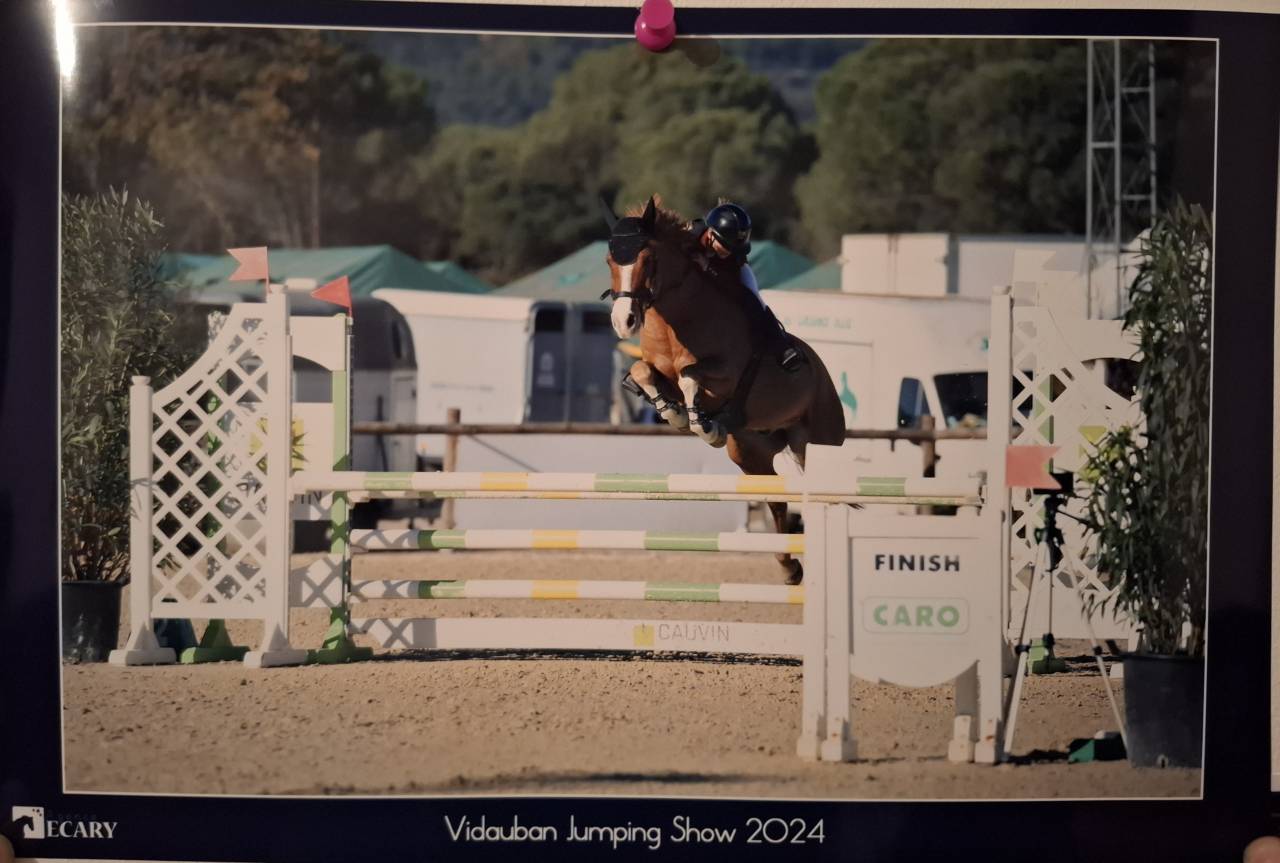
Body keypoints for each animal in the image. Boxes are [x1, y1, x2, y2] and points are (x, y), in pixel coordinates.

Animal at [601, 196, 847, 584]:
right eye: (610, 260)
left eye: (648, 259)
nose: (623, 321)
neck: (675, 321)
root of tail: (824, 375)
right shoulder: (653, 368)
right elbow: (644, 372)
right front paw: (674, 412)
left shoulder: (726, 374)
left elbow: (690, 376)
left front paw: (700, 423)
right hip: (749, 452)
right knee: (776, 499)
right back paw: (789, 568)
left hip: (818, 440)